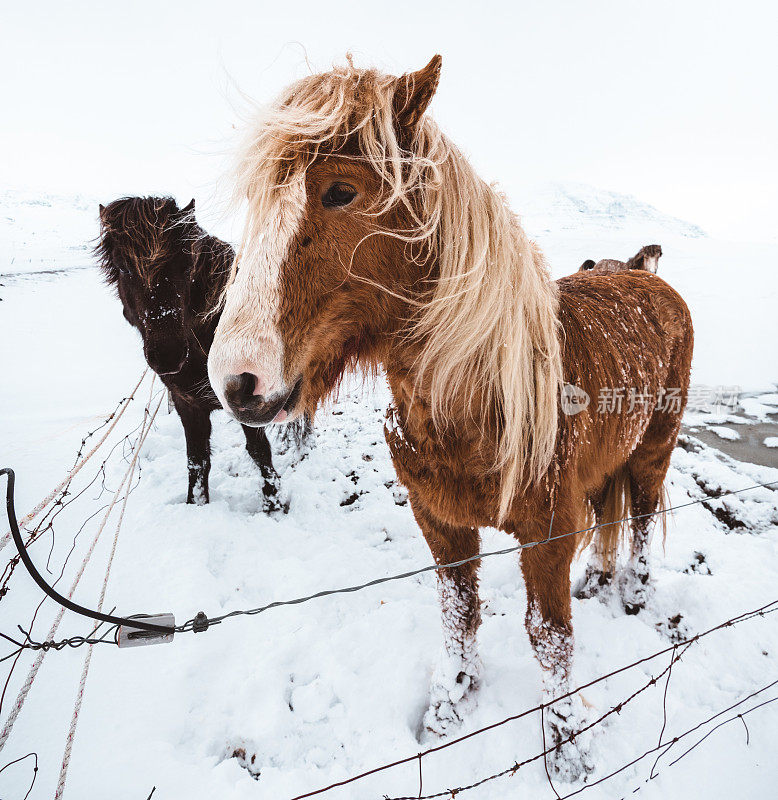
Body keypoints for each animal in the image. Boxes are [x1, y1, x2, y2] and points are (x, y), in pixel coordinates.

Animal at [94, 199, 306, 510]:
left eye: (185, 266)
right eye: (124, 268)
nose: (168, 354)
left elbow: (259, 451)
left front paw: (274, 503)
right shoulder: (187, 405)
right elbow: (197, 460)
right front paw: (196, 502)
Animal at [206, 57, 692, 780]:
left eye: (341, 191)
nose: (238, 380)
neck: (485, 403)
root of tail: (646, 278)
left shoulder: (547, 534)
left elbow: (550, 638)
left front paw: (567, 749)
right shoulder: (439, 523)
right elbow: (458, 613)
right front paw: (449, 707)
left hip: (654, 449)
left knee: (641, 514)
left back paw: (631, 591)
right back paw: (602, 581)